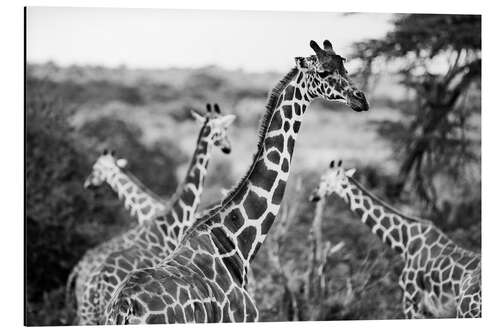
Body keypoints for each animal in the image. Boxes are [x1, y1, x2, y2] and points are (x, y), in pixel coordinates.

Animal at [104, 40, 372, 322]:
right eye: (322, 72)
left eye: (345, 67)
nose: (361, 99)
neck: (237, 245)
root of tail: (123, 309)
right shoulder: (246, 317)